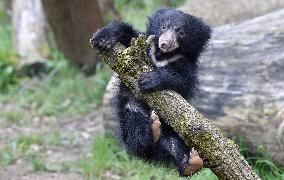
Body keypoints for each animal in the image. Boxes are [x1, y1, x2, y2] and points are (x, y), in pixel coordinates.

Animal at [90, 8, 212, 176]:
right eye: (164, 26)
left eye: (181, 33)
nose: (165, 43)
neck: (162, 55)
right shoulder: (141, 46)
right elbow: (129, 36)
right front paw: (103, 37)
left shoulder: (185, 63)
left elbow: (182, 79)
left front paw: (149, 80)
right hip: (131, 111)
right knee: (137, 131)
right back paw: (150, 132)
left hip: (171, 131)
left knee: (174, 145)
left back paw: (191, 162)